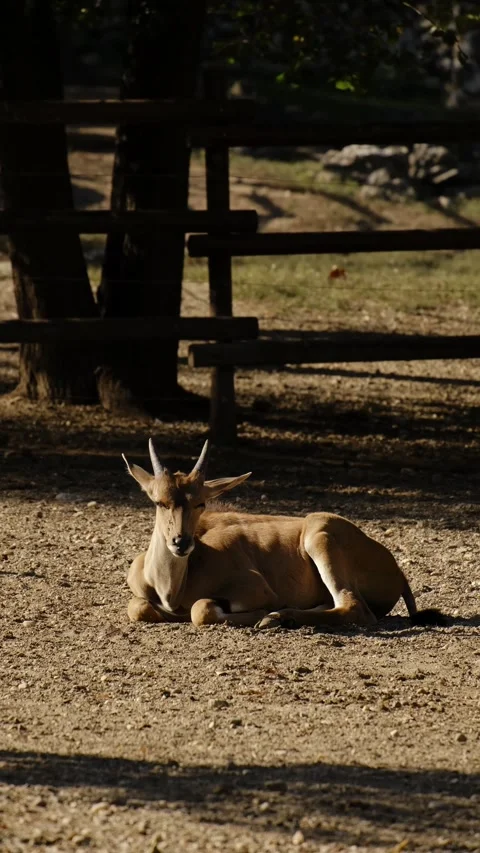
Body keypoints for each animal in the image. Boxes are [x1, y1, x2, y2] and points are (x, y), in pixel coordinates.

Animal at [123, 439, 445, 630]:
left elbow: (201, 610)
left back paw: (280, 617)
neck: (172, 588)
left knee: (354, 608)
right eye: (159, 501)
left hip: (320, 535)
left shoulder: (256, 590)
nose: (181, 542)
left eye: (200, 503)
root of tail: (396, 569)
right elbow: (138, 606)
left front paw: (267, 614)